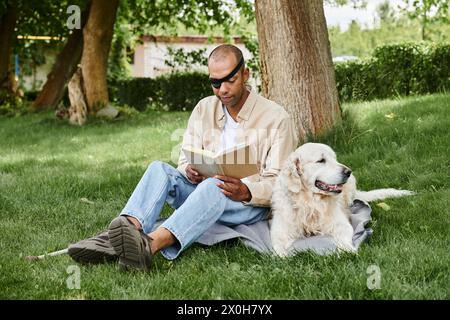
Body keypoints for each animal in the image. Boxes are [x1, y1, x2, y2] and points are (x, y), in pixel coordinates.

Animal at [268, 143, 414, 258]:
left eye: (334, 158)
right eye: (321, 160)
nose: (348, 171)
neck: (311, 202)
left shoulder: (340, 224)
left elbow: (344, 237)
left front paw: (347, 250)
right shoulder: (280, 231)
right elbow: (278, 248)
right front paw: (282, 256)